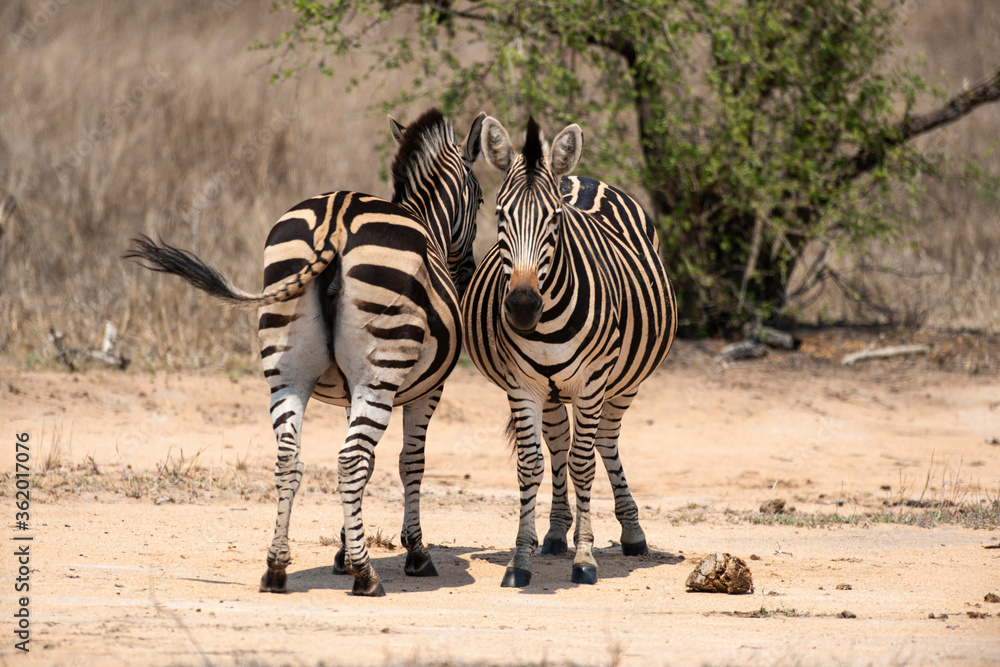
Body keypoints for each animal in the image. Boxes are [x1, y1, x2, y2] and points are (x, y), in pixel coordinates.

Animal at [126, 108, 485, 597]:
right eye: (481, 199)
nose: (465, 273)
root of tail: (337, 219)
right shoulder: (426, 391)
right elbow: (409, 462)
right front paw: (413, 553)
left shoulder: (348, 391)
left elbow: (371, 464)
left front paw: (342, 551)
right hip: (379, 372)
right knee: (349, 460)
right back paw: (366, 576)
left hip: (289, 369)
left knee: (289, 458)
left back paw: (277, 567)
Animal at [461, 116, 676, 587]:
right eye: (500, 214)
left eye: (554, 218)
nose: (523, 306)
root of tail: (579, 178)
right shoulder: (522, 385)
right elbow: (531, 465)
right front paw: (519, 561)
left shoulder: (593, 382)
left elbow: (584, 465)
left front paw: (586, 558)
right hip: (552, 390)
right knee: (559, 442)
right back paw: (558, 531)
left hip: (622, 382)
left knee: (604, 443)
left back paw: (630, 533)